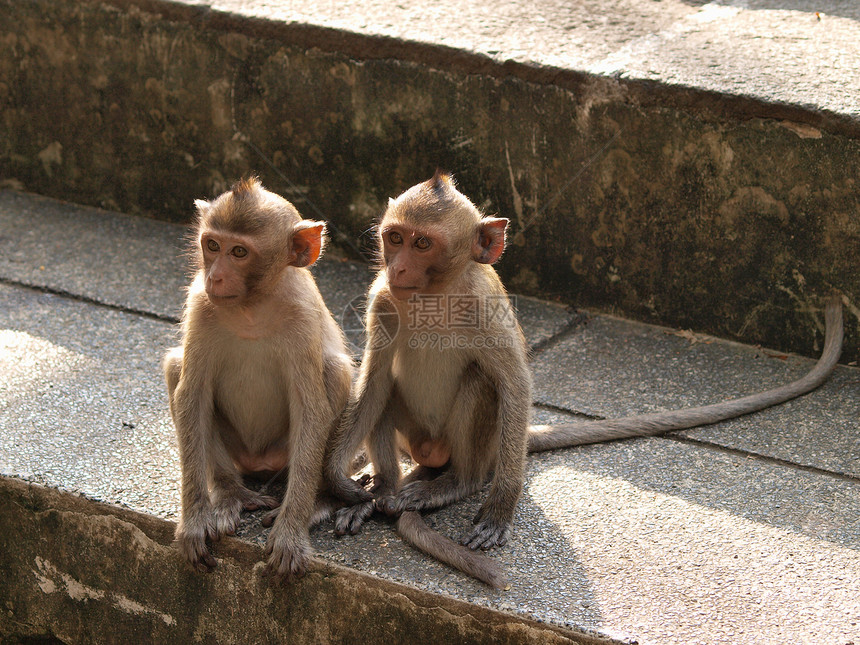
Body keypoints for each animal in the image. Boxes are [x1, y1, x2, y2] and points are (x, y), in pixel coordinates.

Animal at [165, 175, 352, 580]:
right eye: (212, 245)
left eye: (239, 252)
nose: (215, 276)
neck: (252, 306)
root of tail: (259, 461)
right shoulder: (200, 304)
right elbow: (192, 395)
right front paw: (194, 522)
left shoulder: (302, 317)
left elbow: (311, 409)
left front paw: (290, 534)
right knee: (175, 368)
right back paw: (231, 494)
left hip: (284, 451)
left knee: (335, 371)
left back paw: (317, 503)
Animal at [326, 172, 844, 588]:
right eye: (395, 237)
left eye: (422, 244)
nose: (397, 267)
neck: (436, 294)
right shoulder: (383, 300)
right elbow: (373, 380)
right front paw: (340, 483)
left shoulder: (485, 308)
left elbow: (514, 385)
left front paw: (500, 509)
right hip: (415, 436)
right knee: (385, 393)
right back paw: (382, 489)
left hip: (482, 446)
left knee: (481, 385)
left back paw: (453, 483)